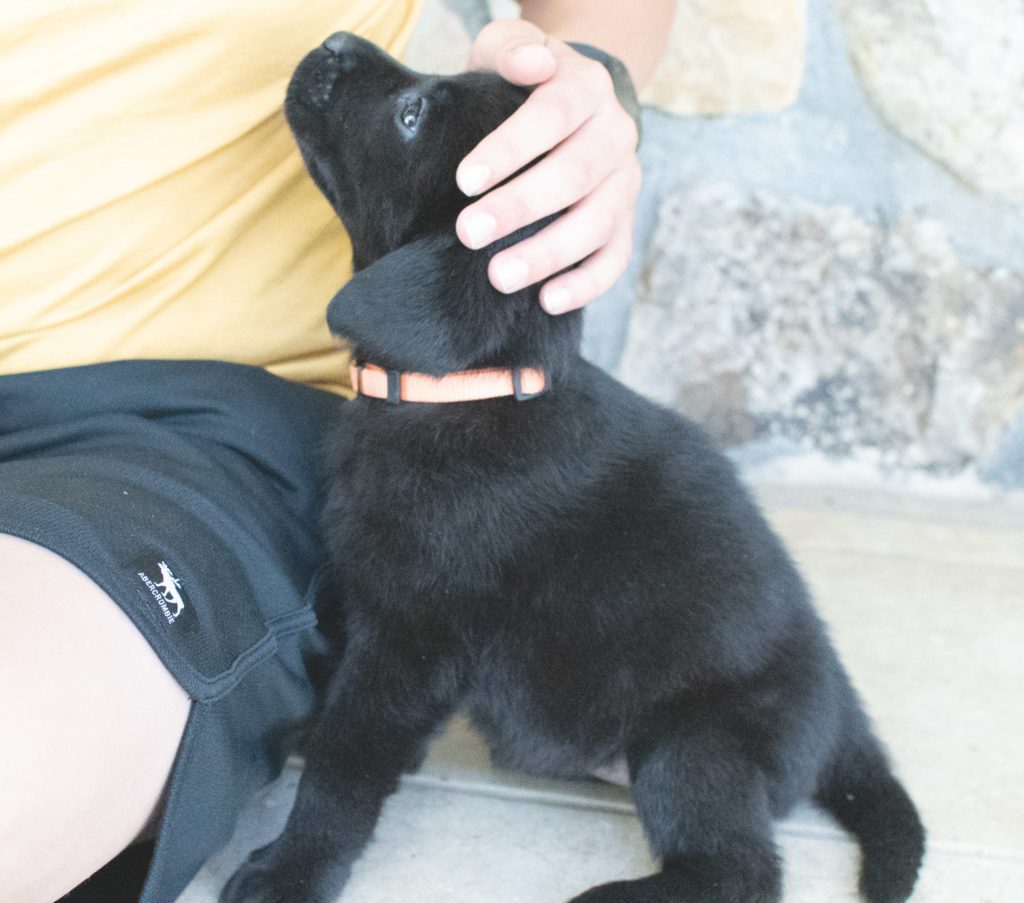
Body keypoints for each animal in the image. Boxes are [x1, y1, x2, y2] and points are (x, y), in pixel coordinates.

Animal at [224, 31, 929, 896]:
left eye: (411, 114)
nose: (334, 42)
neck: (465, 392)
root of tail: (842, 718)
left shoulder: (414, 634)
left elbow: (346, 763)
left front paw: (293, 864)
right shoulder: (375, 607)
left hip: (695, 743)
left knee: (742, 866)